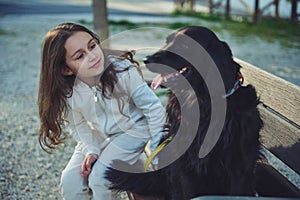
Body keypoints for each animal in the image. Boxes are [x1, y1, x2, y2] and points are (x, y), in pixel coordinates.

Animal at [105, 26, 262, 200]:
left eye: (185, 45)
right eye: (167, 41)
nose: (147, 59)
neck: (203, 102)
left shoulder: (240, 166)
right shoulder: (184, 162)